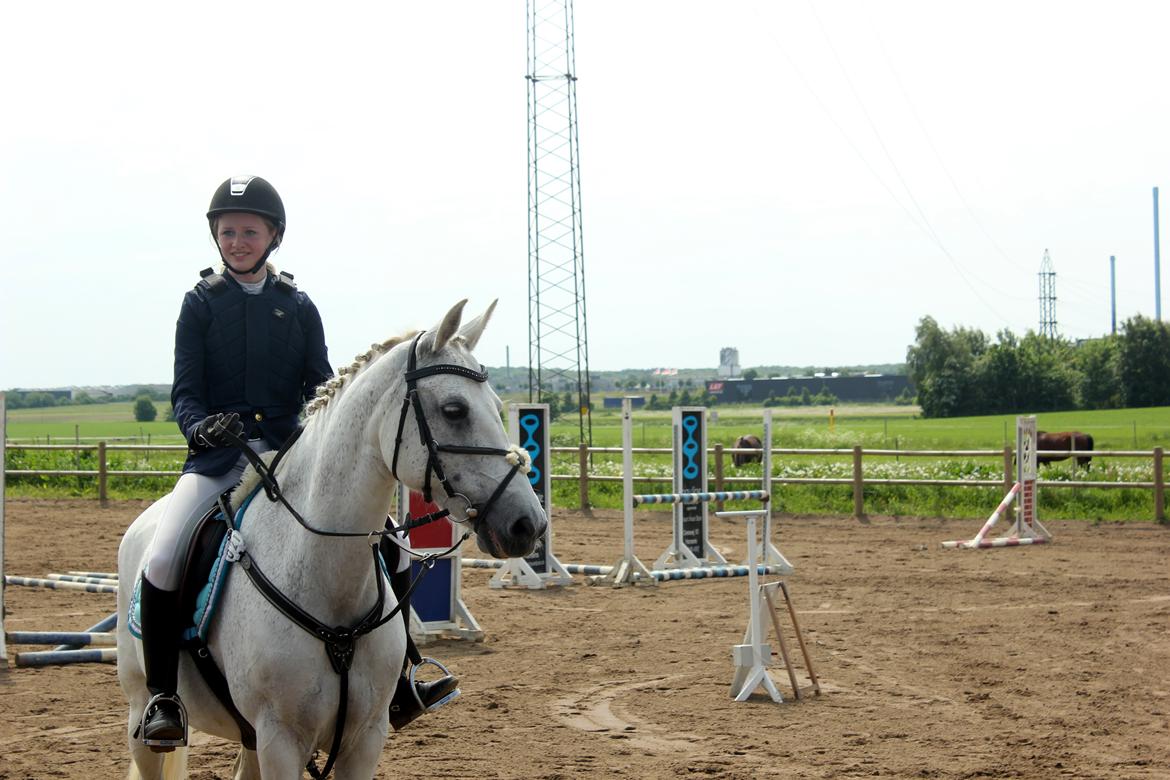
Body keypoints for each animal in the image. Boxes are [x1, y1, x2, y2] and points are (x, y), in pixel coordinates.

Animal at [116, 301, 545, 780]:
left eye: (497, 406)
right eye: (454, 409)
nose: (528, 524)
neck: (328, 581)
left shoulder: (365, 737)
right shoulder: (281, 740)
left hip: (251, 738)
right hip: (144, 716)